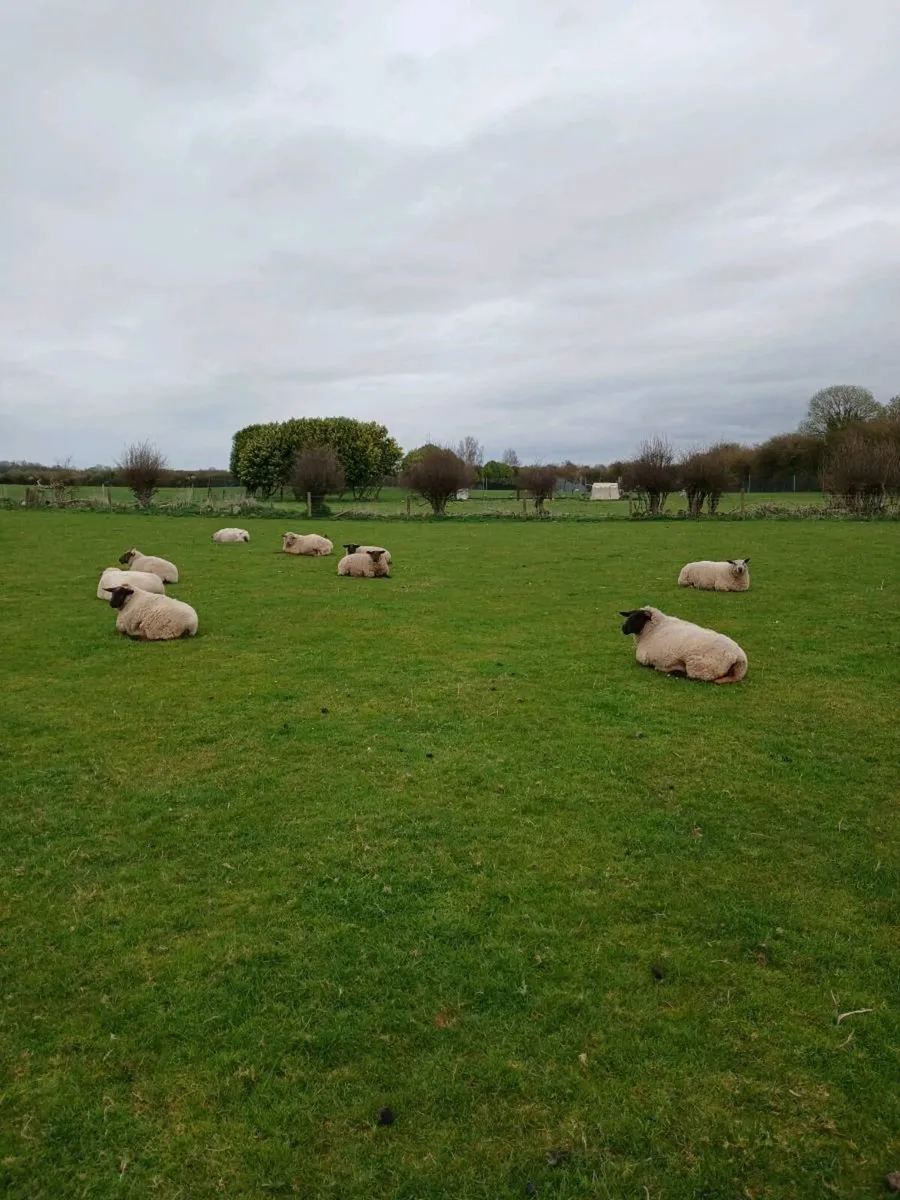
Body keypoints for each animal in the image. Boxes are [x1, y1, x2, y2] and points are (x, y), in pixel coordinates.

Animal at [619, 606, 748, 684]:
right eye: (630, 616)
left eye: (637, 617)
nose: (623, 629)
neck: (654, 629)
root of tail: (739, 657)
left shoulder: (643, 658)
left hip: (700, 666)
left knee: (694, 677)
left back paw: (672, 670)